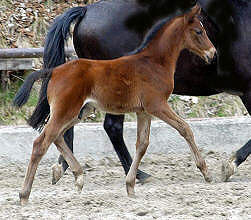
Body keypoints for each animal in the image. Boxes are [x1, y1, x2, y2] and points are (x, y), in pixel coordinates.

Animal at [18, 5, 217, 205]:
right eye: (199, 31)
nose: (213, 53)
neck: (154, 62)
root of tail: (54, 71)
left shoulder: (143, 112)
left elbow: (142, 144)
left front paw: (130, 185)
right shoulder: (157, 105)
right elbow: (185, 129)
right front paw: (206, 172)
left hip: (79, 112)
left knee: (57, 137)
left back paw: (78, 176)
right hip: (65, 111)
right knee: (41, 143)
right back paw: (24, 195)